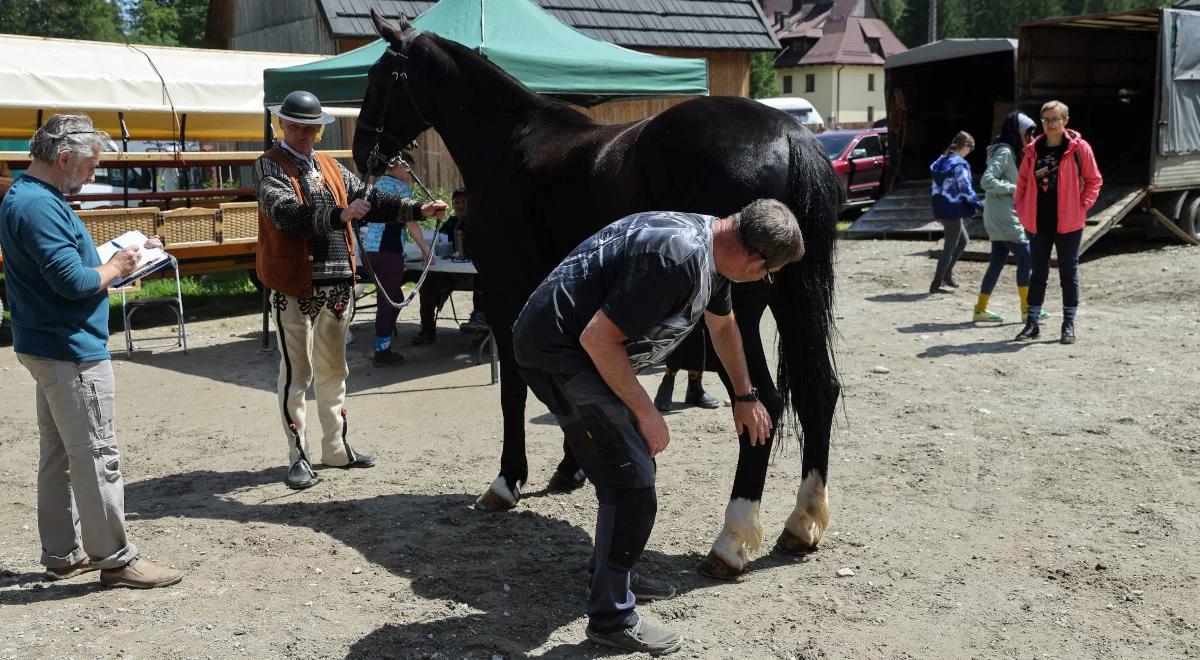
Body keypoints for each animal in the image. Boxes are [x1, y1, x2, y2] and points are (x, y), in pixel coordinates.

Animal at [352, 12, 844, 583]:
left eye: (378, 77)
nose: (362, 153)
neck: (509, 144)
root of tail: (790, 135)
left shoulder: (505, 292)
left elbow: (514, 390)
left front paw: (507, 481)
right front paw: (571, 469)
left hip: (735, 319)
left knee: (763, 402)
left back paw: (732, 540)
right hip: (790, 304)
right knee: (820, 392)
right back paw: (803, 522)